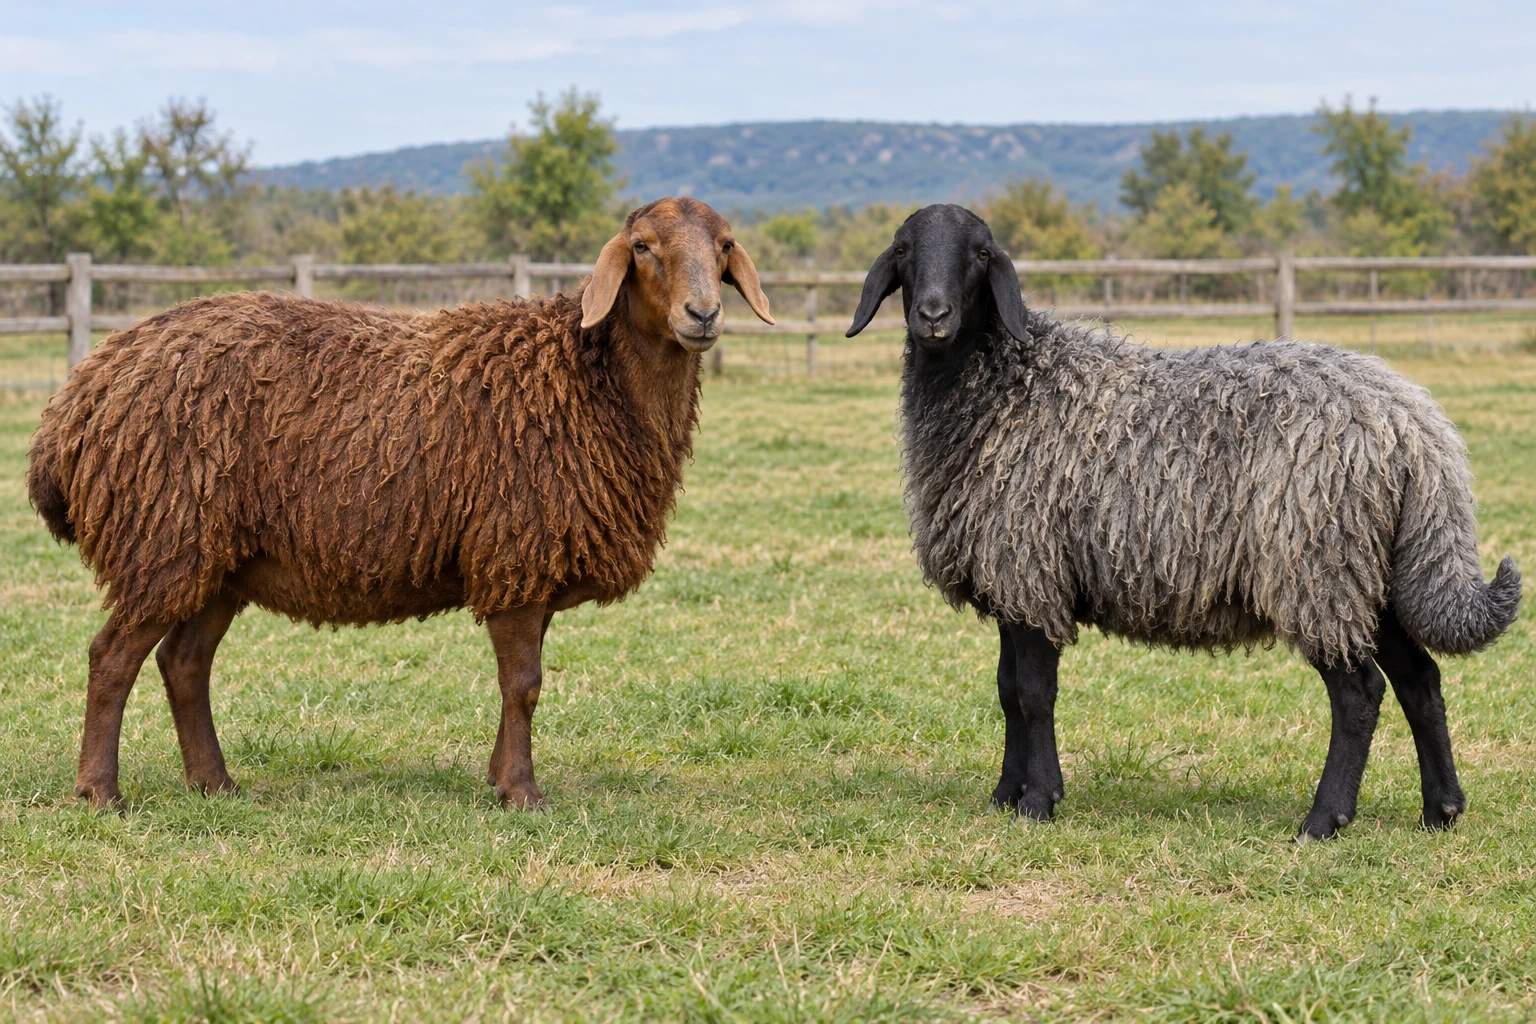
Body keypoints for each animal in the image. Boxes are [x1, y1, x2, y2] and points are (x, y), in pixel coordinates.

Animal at [27, 195, 775, 812]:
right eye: (643, 246)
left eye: (725, 245)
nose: (703, 314)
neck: (585, 378)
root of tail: (78, 399)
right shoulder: (516, 551)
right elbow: (524, 684)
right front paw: (523, 794)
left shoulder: (524, 567)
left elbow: (519, 684)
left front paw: (499, 780)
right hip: (163, 538)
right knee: (111, 657)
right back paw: (100, 793)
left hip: (216, 559)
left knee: (183, 663)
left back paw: (215, 784)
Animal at [846, 204, 1521, 840]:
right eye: (903, 250)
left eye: (982, 253)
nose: (933, 315)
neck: (1010, 384)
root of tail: (1415, 427)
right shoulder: (1013, 579)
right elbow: (1008, 690)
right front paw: (1005, 796)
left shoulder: (1031, 568)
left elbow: (1035, 696)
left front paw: (1039, 802)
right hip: (1369, 570)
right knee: (1420, 680)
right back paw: (1440, 811)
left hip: (1316, 562)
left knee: (1360, 693)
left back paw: (1323, 821)